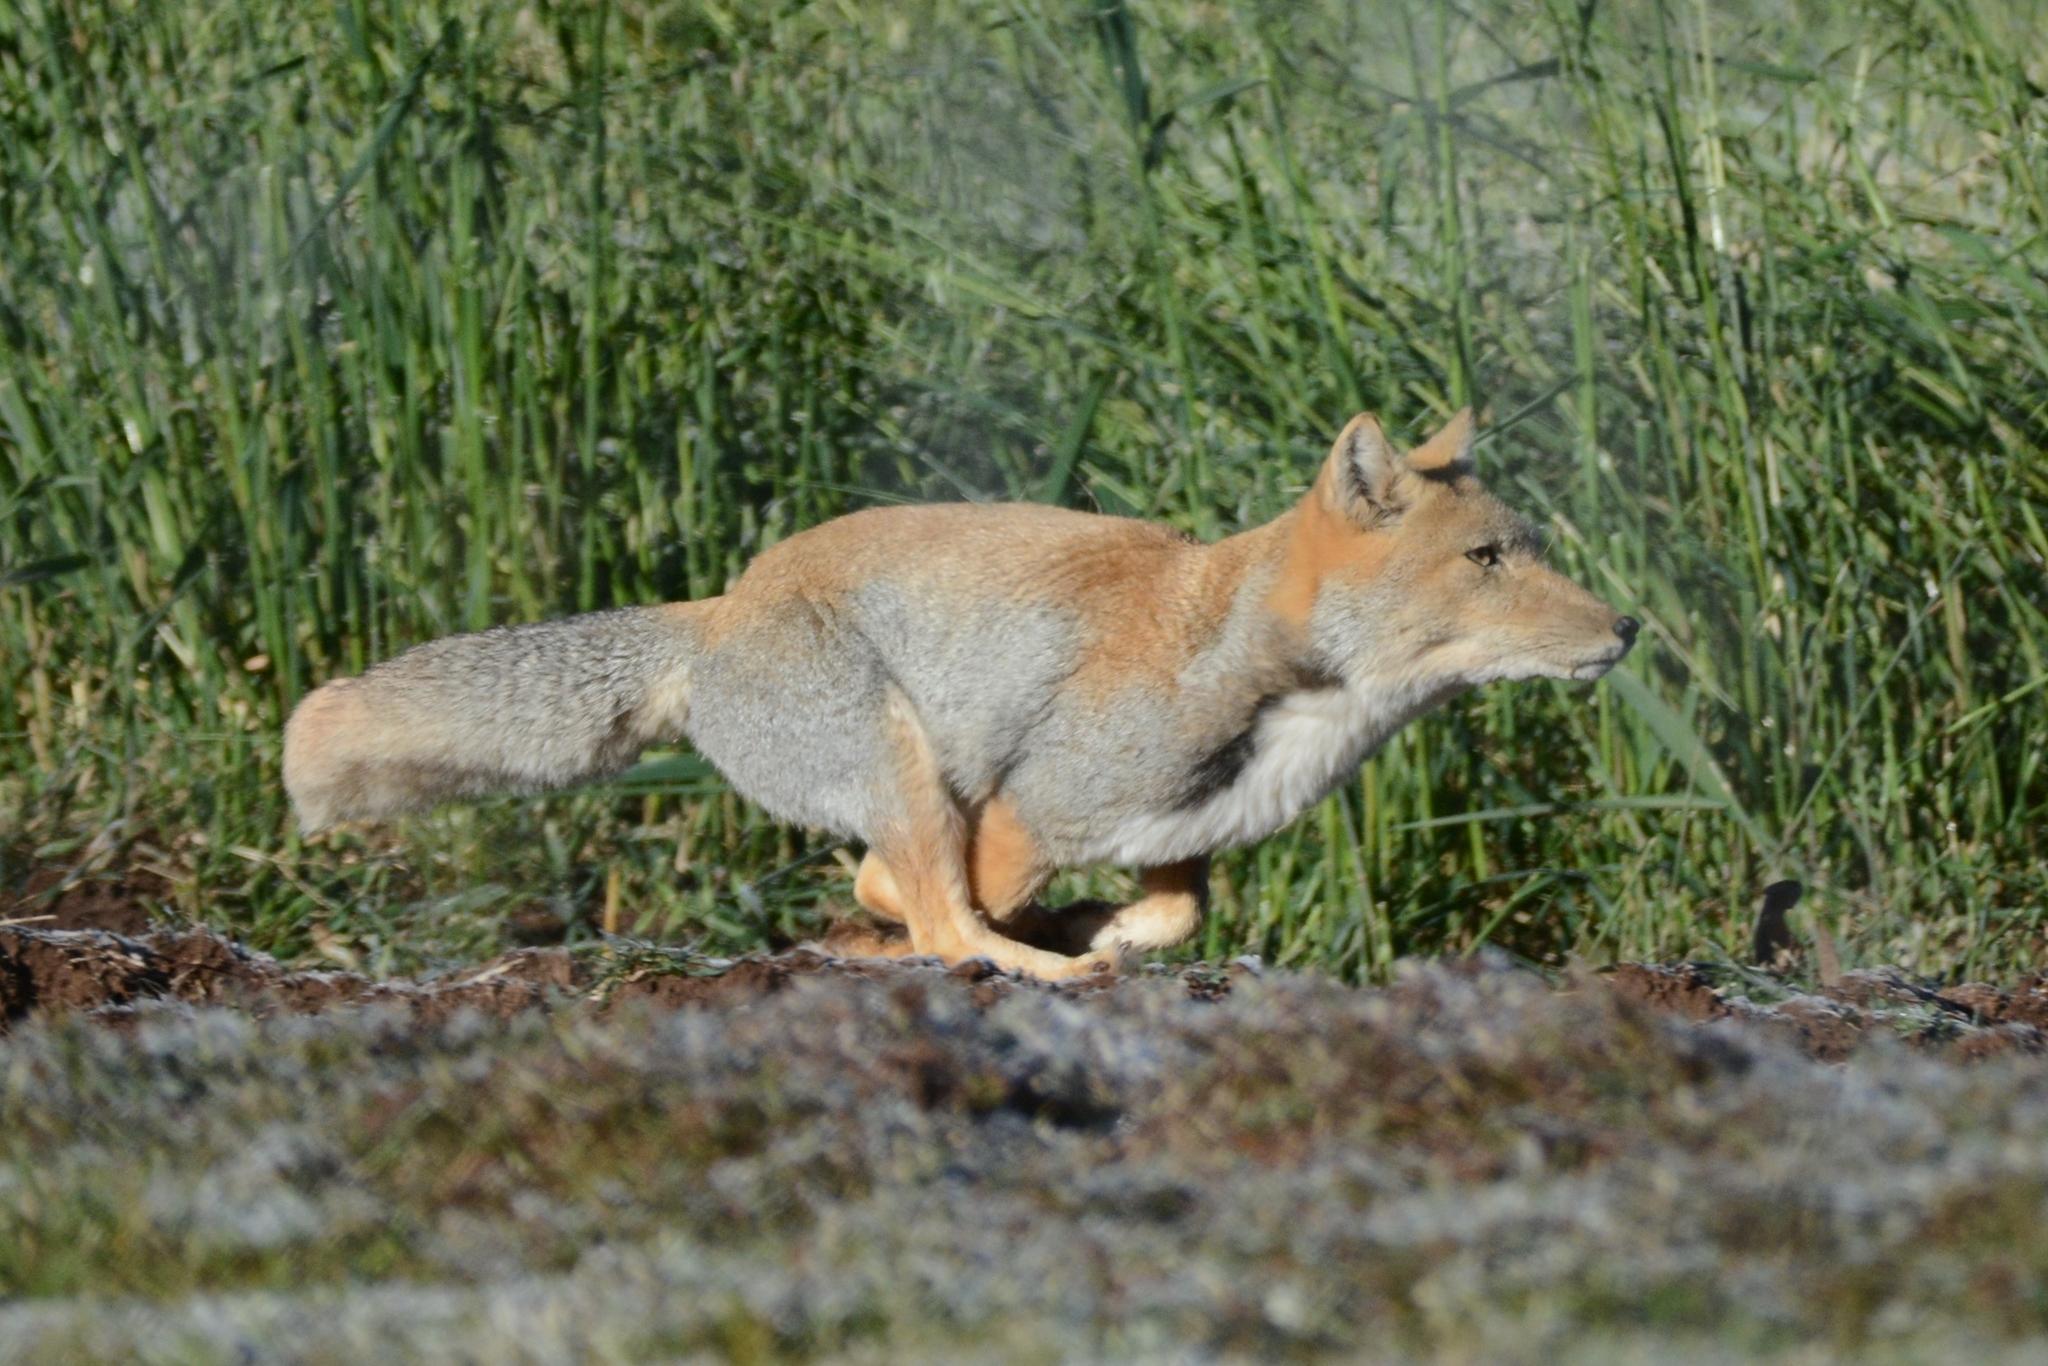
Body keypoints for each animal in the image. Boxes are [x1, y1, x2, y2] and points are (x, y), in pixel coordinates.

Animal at [284, 409, 1637, 980]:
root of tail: (717, 607)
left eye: (1522, 547)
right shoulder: (1021, 809)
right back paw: (1021, 964)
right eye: (1488, 559)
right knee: (939, 925)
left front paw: (1101, 930)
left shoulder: (1175, 837)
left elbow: (1172, 915)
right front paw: (1058, 940)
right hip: (899, 759)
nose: (1626, 626)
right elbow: (931, 892)